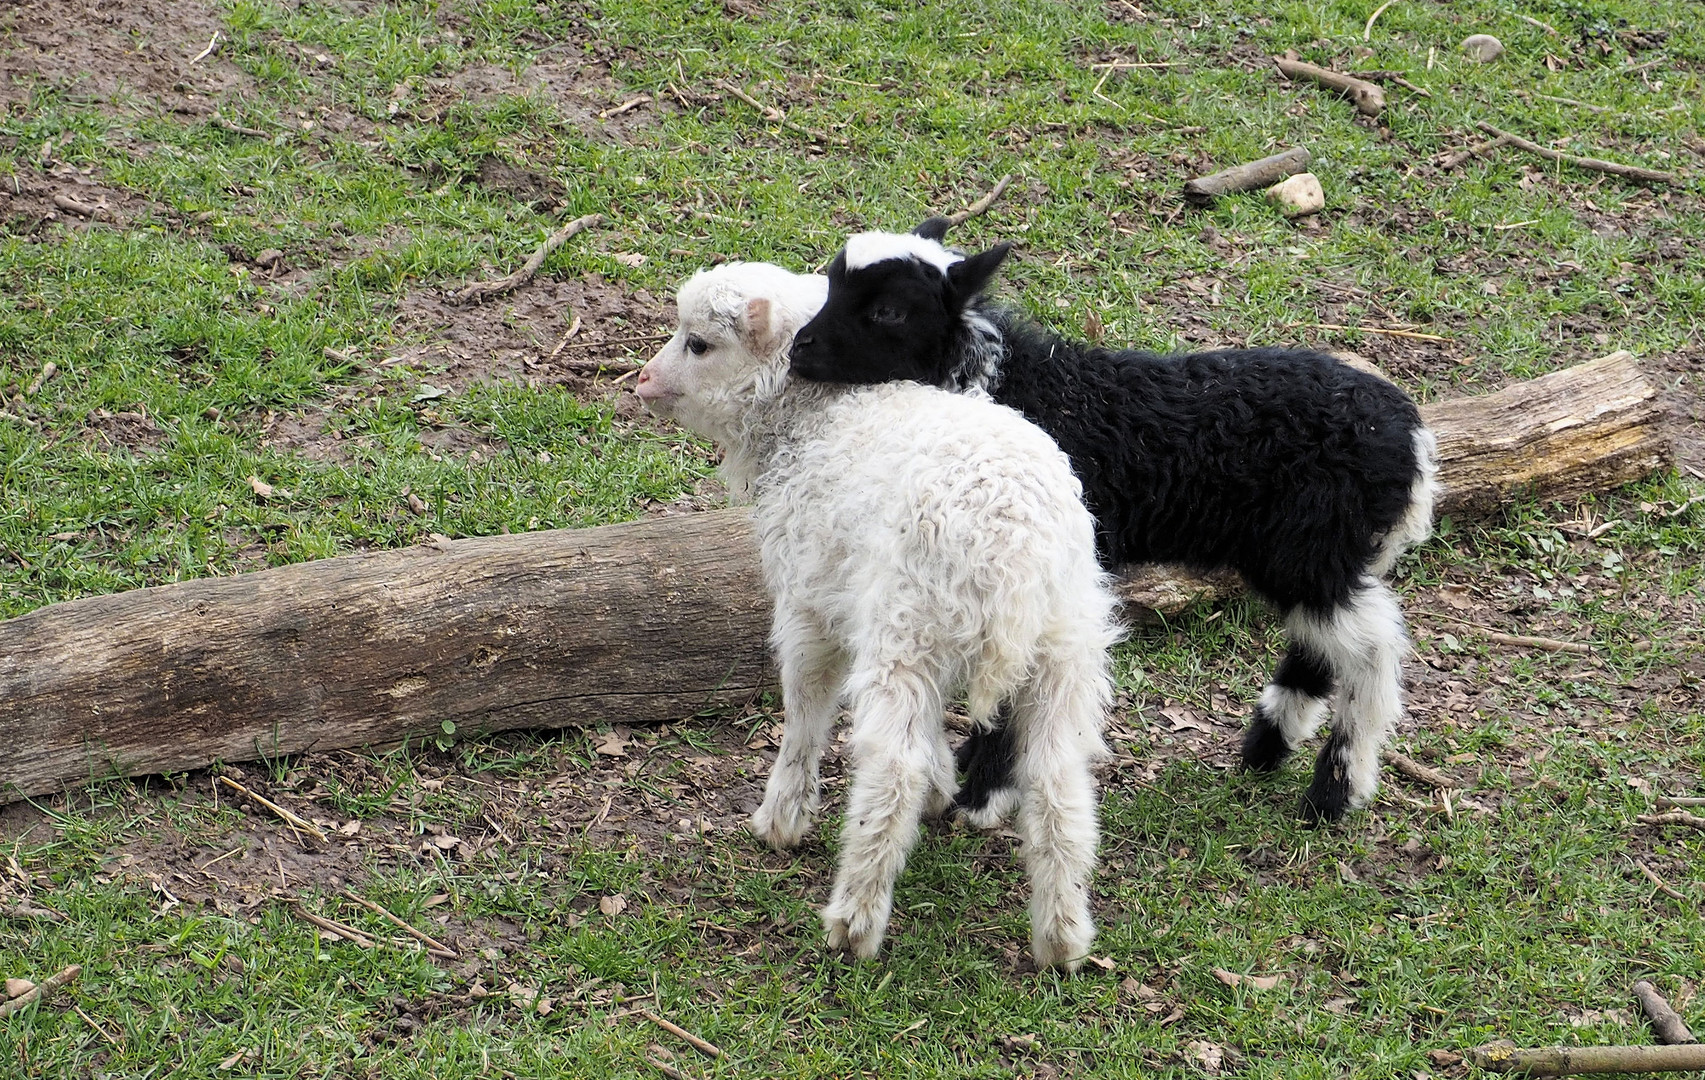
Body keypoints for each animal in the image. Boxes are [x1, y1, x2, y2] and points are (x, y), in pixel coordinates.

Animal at [634, 262, 1125, 969]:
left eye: (698, 344)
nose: (641, 382)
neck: (816, 416)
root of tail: (1015, 553)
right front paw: (944, 787)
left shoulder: (809, 598)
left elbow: (806, 705)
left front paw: (782, 819)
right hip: (1065, 643)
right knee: (1058, 779)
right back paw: (1061, 937)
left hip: (908, 624)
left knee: (893, 769)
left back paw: (855, 920)